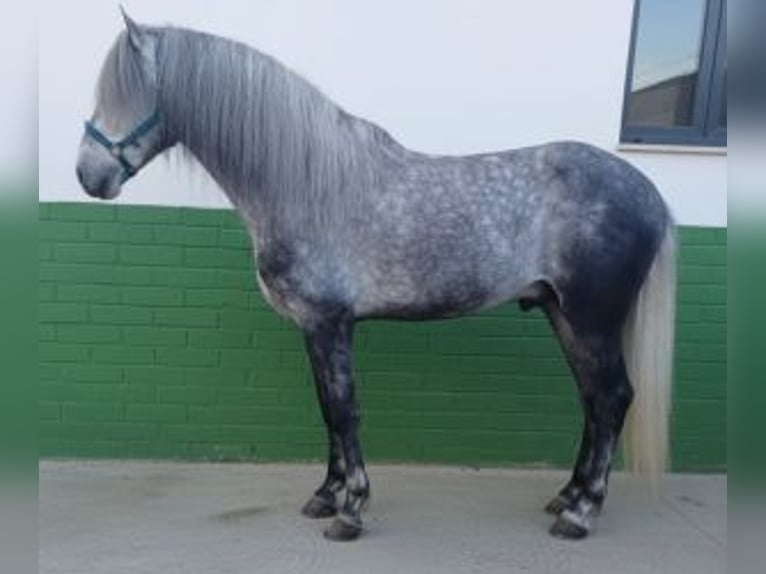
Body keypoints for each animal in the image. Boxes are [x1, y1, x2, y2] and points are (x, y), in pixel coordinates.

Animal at [76, 11, 676, 542]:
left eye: (127, 96)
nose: (87, 175)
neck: (308, 184)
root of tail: (647, 191)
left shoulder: (330, 322)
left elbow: (345, 411)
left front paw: (351, 511)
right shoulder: (313, 328)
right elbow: (327, 410)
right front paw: (324, 496)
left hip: (591, 320)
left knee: (613, 398)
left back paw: (581, 514)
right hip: (562, 314)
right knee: (593, 401)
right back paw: (565, 496)